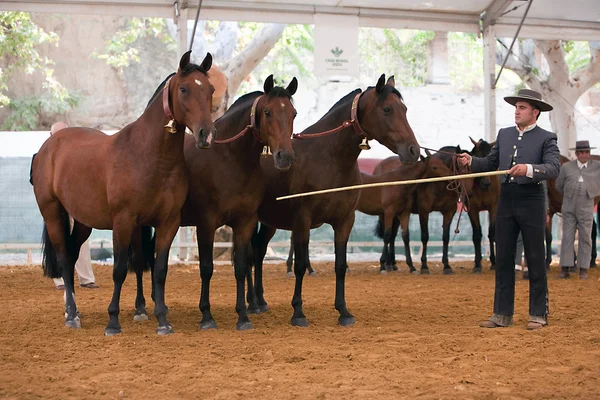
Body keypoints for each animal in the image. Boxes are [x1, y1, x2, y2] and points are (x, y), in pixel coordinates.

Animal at [32, 51, 216, 336]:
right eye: (184, 89)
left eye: (210, 90)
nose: (205, 135)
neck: (148, 156)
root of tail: (48, 146)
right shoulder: (123, 221)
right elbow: (119, 270)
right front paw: (113, 322)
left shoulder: (168, 222)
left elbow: (158, 270)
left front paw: (162, 320)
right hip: (53, 215)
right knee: (63, 259)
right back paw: (71, 315)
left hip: (83, 222)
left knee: (72, 257)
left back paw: (73, 311)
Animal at [246, 76, 420, 328]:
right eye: (387, 109)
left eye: (404, 109)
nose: (413, 150)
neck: (327, 158)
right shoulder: (302, 221)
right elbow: (300, 265)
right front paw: (298, 312)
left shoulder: (344, 221)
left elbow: (340, 265)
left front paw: (343, 311)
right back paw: (251, 303)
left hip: (270, 222)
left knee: (258, 250)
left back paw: (260, 301)